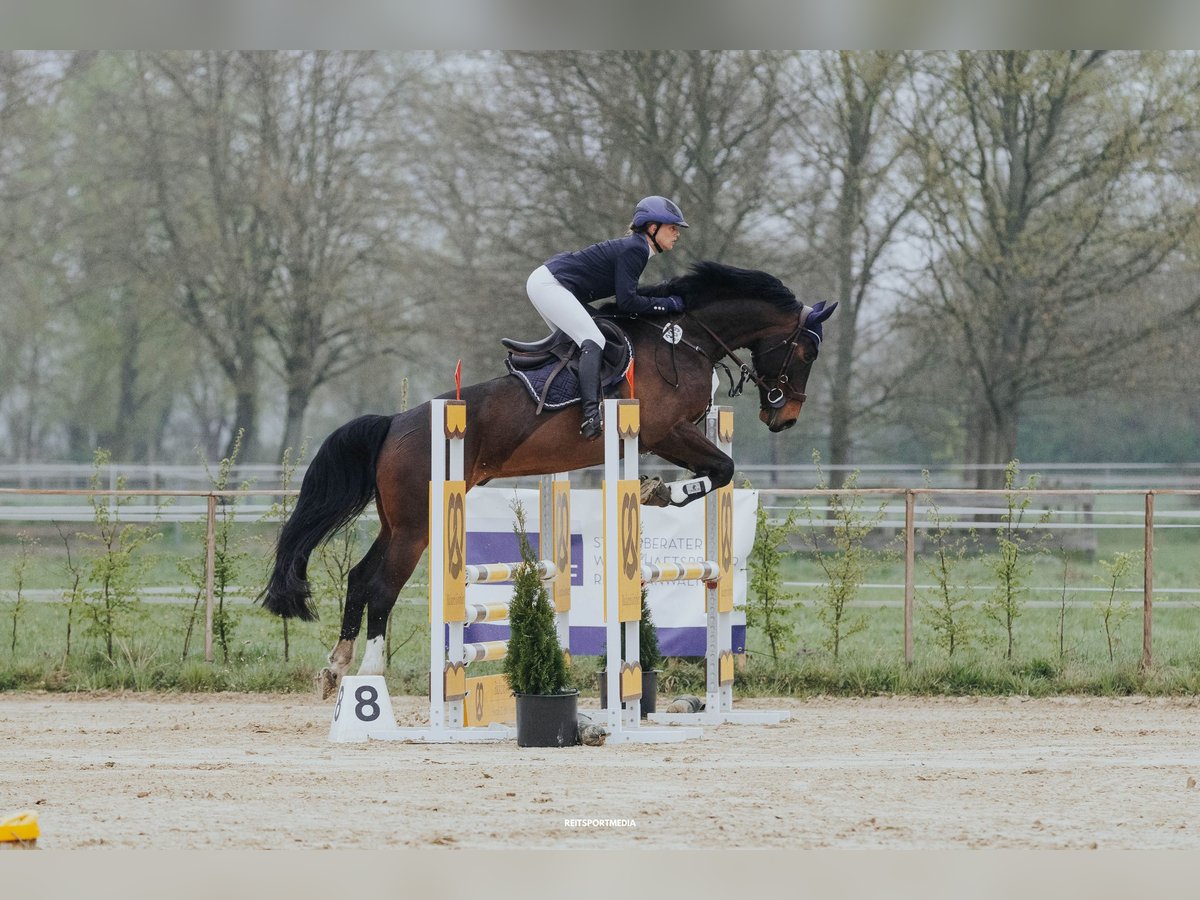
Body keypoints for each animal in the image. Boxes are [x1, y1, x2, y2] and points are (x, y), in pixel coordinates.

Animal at [260, 260, 836, 696]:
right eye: (807, 351)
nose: (784, 417)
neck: (685, 339)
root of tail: (395, 423)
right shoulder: (662, 430)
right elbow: (721, 469)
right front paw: (658, 492)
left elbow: (719, 470)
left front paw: (658, 490)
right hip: (417, 526)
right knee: (381, 586)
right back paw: (370, 675)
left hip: (399, 522)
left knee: (361, 578)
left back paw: (335, 668)